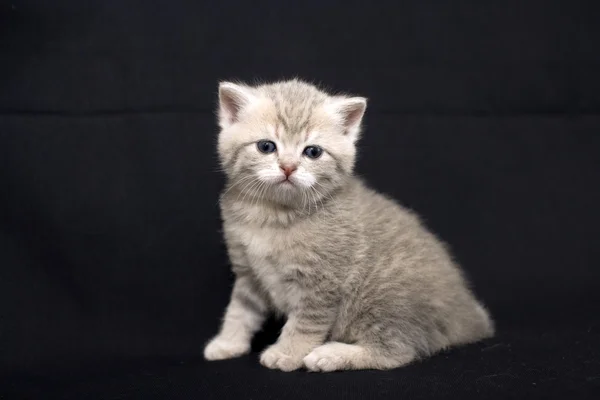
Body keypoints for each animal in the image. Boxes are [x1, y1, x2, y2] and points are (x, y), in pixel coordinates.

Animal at [204, 78, 494, 372]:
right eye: (266, 147)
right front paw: (227, 343)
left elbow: (304, 325)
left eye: (312, 152)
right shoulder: (247, 273)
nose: (288, 167)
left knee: (396, 352)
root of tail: (468, 316)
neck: (273, 215)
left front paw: (287, 353)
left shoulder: (321, 284)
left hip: (383, 300)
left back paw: (330, 354)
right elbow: (240, 311)